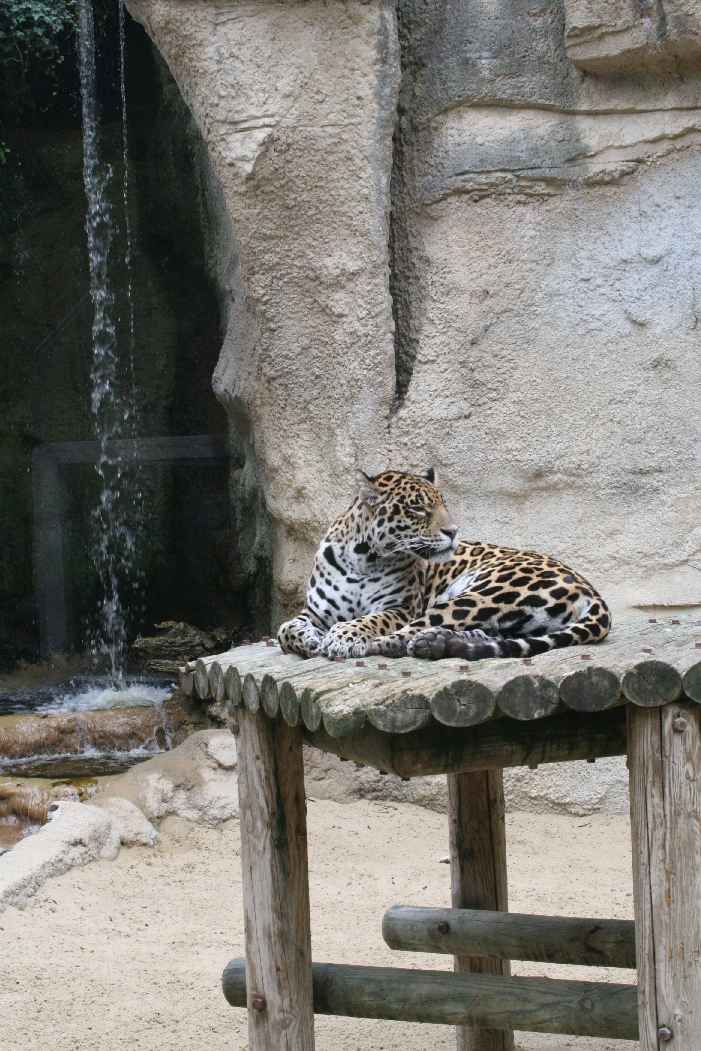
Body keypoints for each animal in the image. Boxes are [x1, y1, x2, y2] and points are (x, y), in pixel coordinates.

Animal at [277, 468, 611, 662]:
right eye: (417, 508)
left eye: (443, 504)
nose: (453, 531)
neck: (363, 558)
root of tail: (591, 590)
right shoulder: (315, 613)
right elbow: (284, 630)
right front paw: (309, 639)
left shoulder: (401, 608)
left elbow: (371, 620)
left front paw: (343, 637)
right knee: (489, 635)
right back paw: (441, 643)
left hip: (485, 591)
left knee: (409, 633)